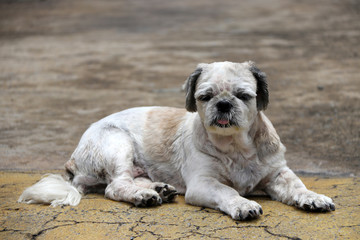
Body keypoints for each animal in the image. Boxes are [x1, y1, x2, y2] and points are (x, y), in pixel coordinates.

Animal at [19, 61, 334, 219]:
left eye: (243, 95)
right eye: (205, 97)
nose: (223, 104)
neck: (236, 147)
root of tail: (73, 159)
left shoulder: (277, 173)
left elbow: (298, 186)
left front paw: (313, 197)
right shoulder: (203, 184)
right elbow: (227, 191)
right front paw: (243, 205)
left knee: (131, 180)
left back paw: (158, 188)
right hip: (116, 143)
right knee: (116, 186)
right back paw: (143, 196)